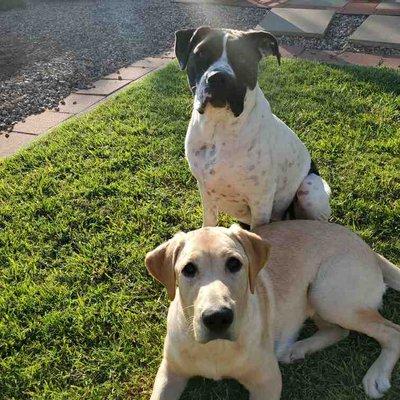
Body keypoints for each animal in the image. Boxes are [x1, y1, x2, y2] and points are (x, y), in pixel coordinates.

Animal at [145, 222, 400, 400]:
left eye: (234, 263)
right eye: (188, 269)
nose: (217, 318)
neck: (216, 349)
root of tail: (366, 247)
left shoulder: (267, 382)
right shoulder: (169, 373)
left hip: (329, 296)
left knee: (392, 331)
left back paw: (377, 375)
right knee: (338, 331)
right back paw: (297, 349)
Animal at [176, 26, 332, 230]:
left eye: (243, 57)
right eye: (201, 53)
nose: (218, 77)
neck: (220, 127)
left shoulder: (260, 201)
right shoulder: (205, 191)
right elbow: (209, 224)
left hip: (310, 190)